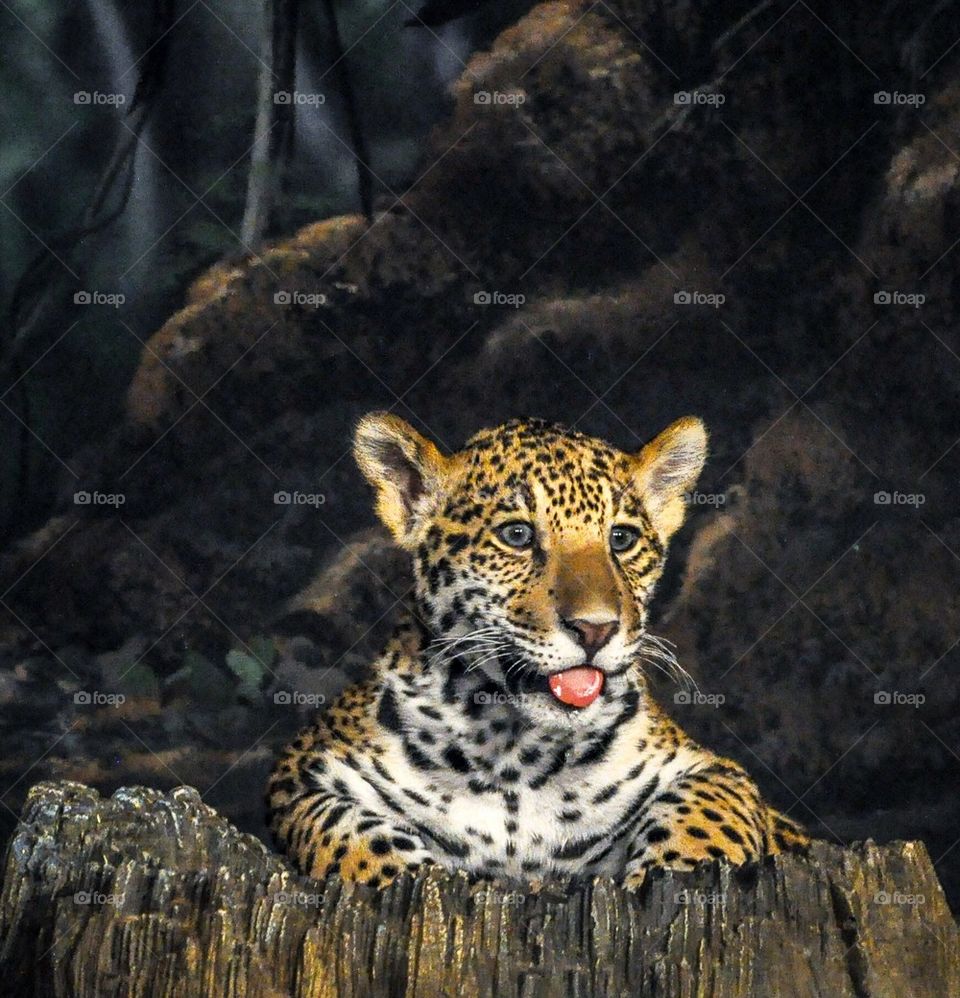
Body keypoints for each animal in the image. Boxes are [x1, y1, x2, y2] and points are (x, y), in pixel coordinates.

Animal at [267, 412, 808, 890]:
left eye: (621, 539)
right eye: (517, 535)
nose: (595, 629)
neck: (513, 753)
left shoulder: (717, 771)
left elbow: (706, 819)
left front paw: (672, 874)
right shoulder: (300, 775)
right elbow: (349, 836)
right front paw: (406, 873)